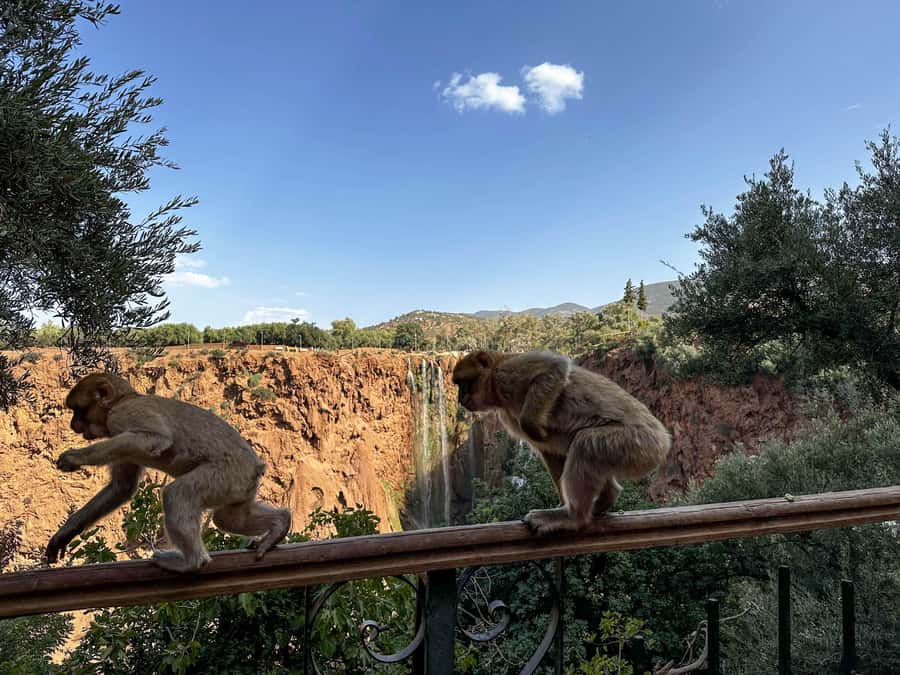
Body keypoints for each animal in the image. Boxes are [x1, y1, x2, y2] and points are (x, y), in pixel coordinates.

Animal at [46, 372, 292, 573]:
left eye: (78, 411)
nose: (73, 425)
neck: (125, 399)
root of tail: (257, 467)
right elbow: (121, 488)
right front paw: (65, 533)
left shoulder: (122, 415)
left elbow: (156, 439)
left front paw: (75, 457)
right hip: (239, 485)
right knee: (229, 518)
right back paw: (280, 523)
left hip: (228, 474)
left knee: (178, 494)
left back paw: (191, 562)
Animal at [452, 350, 671, 536]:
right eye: (458, 385)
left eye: (464, 383)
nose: (460, 398)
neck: (496, 392)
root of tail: (665, 440)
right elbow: (549, 451)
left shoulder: (507, 374)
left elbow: (554, 367)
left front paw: (532, 425)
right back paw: (605, 498)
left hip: (638, 443)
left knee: (585, 444)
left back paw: (574, 516)